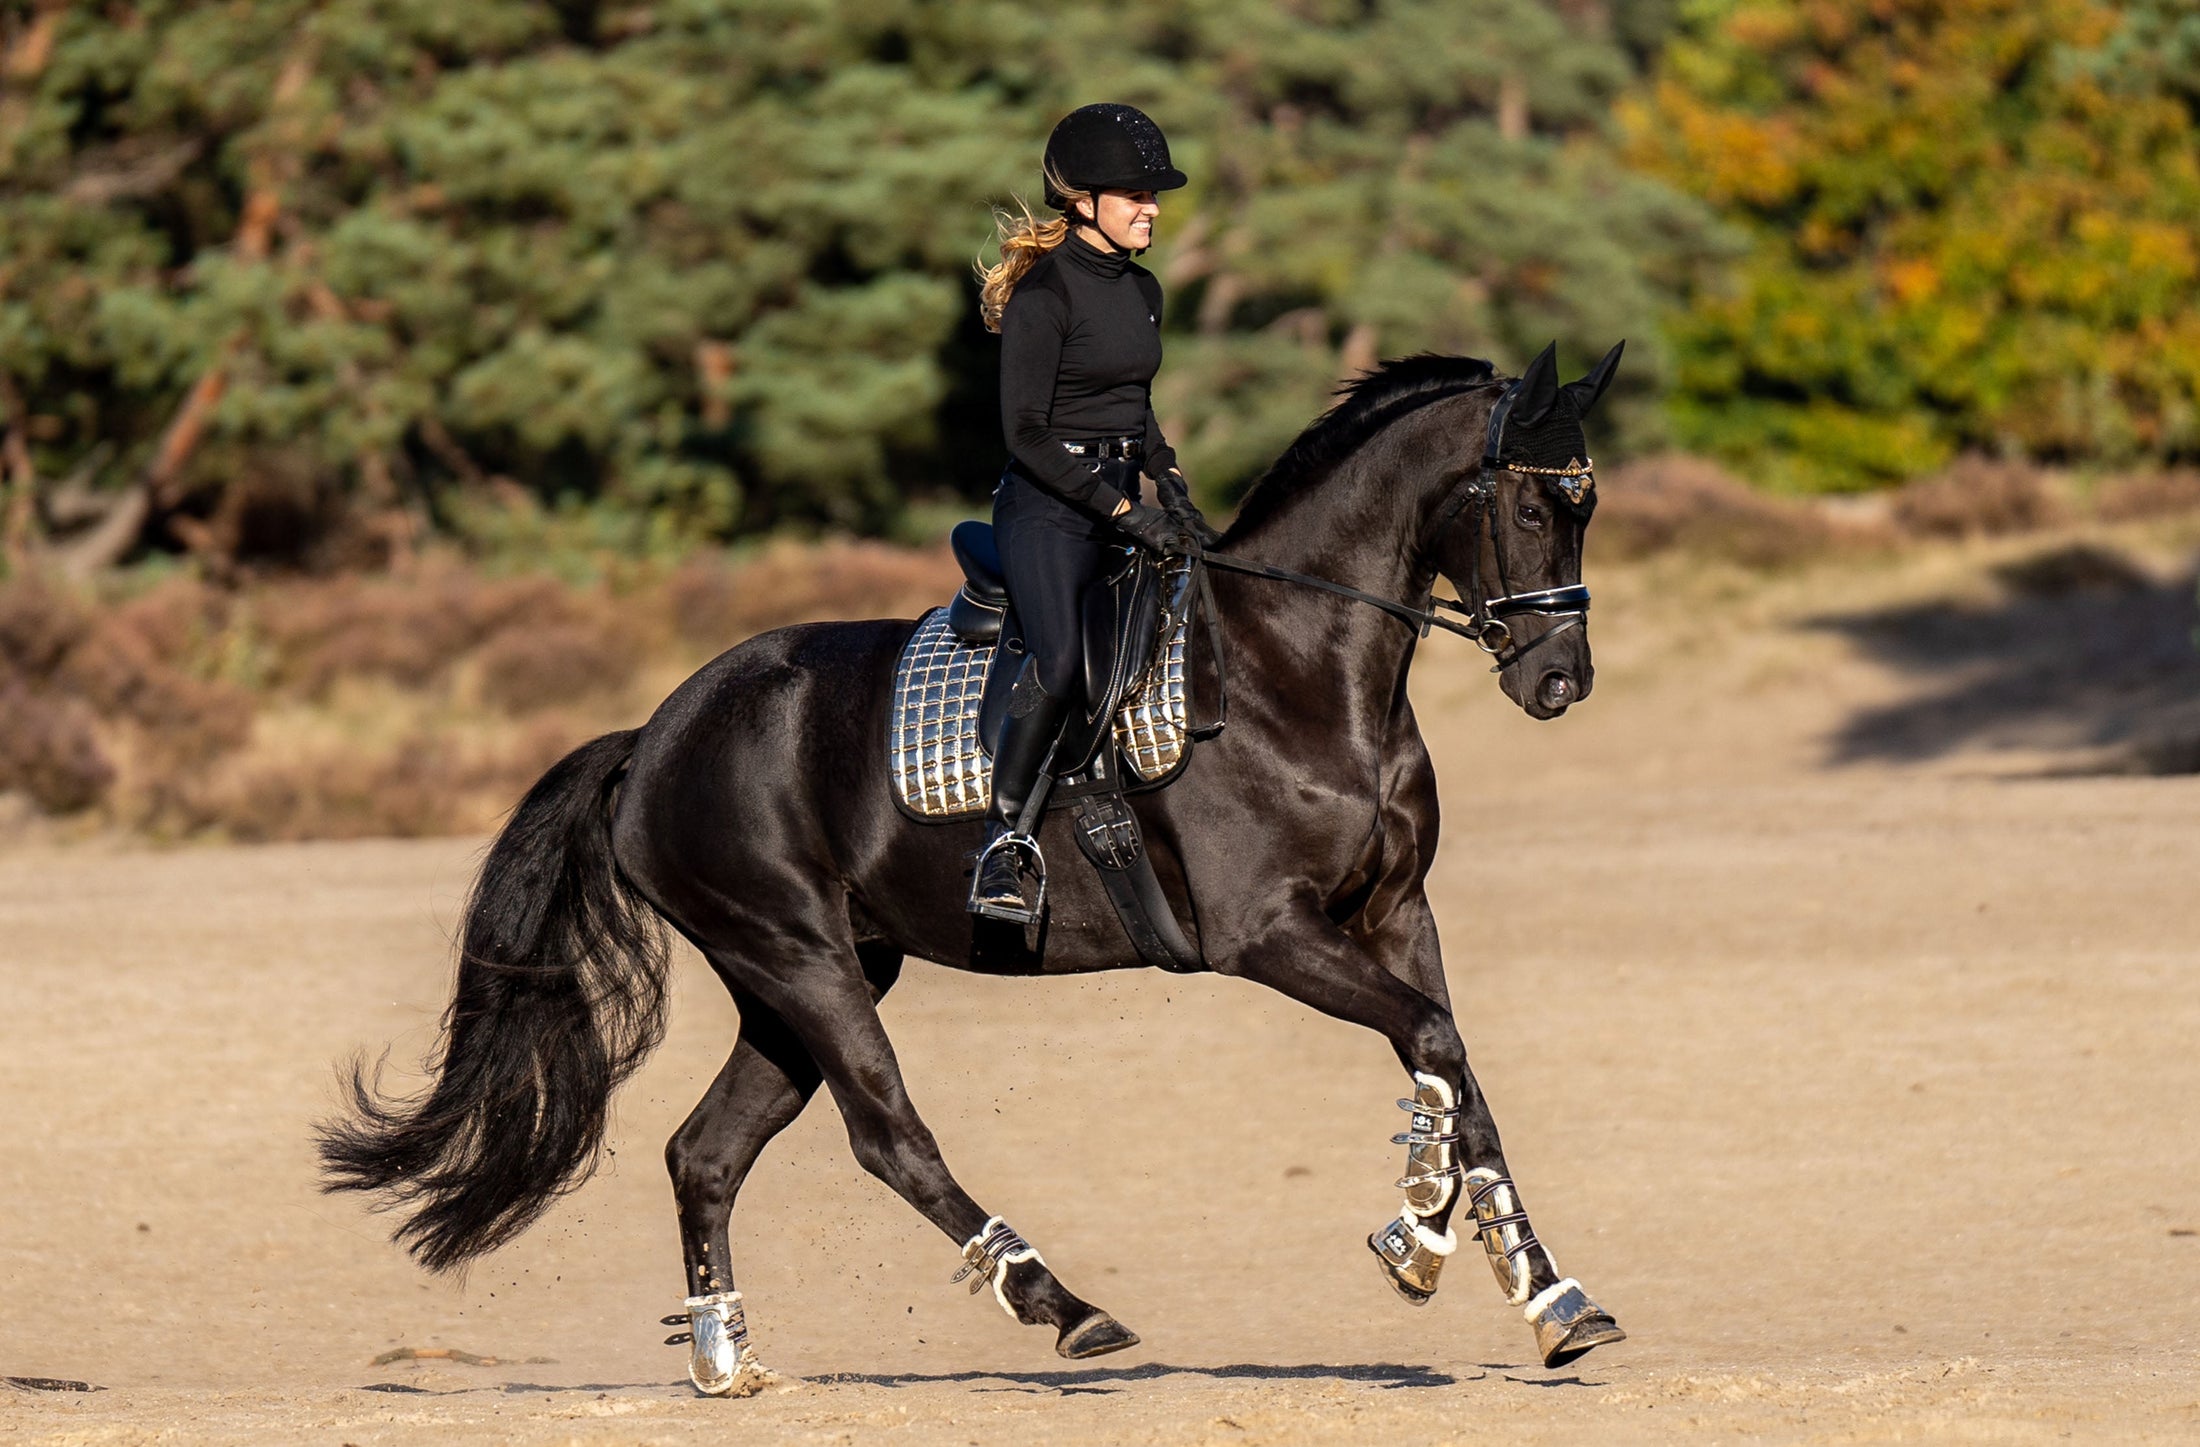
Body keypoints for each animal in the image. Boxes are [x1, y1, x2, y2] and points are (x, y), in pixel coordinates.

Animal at [319, 341, 1628, 1394]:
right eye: (1527, 508)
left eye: (1586, 505)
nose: (1560, 681)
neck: (1293, 667)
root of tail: (651, 736)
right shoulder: (1265, 933)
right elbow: (1434, 1050)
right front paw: (1421, 1234)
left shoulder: (1397, 913)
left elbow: (1455, 1066)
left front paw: (1542, 1291)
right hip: (799, 958)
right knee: (887, 1133)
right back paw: (1061, 1304)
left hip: (807, 976)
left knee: (705, 1151)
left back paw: (726, 1360)